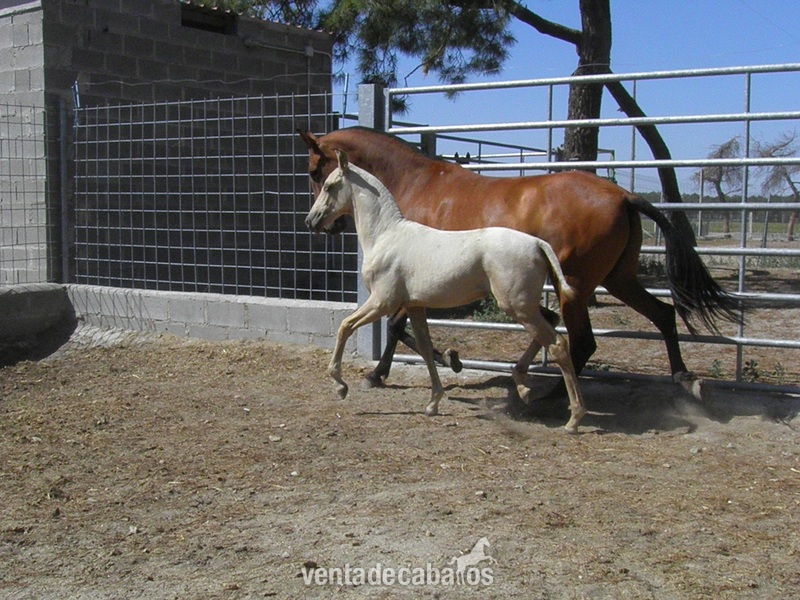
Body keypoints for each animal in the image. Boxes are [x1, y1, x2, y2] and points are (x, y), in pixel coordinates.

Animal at [299, 127, 742, 395]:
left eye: (315, 171)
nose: (316, 223)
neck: (412, 186)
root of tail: (623, 195)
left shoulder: (410, 284)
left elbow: (394, 327)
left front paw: (383, 373)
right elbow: (401, 328)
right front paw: (446, 360)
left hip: (576, 287)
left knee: (582, 341)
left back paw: (551, 396)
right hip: (618, 278)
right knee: (663, 314)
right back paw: (685, 377)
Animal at [306, 150, 588, 433]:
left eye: (329, 186)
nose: (311, 220)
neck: (385, 236)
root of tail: (538, 244)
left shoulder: (382, 302)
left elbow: (345, 326)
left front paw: (340, 385)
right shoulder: (414, 306)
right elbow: (425, 347)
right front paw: (434, 402)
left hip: (516, 306)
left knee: (558, 345)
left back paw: (573, 418)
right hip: (522, 306)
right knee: (551, 326)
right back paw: (523, 387)